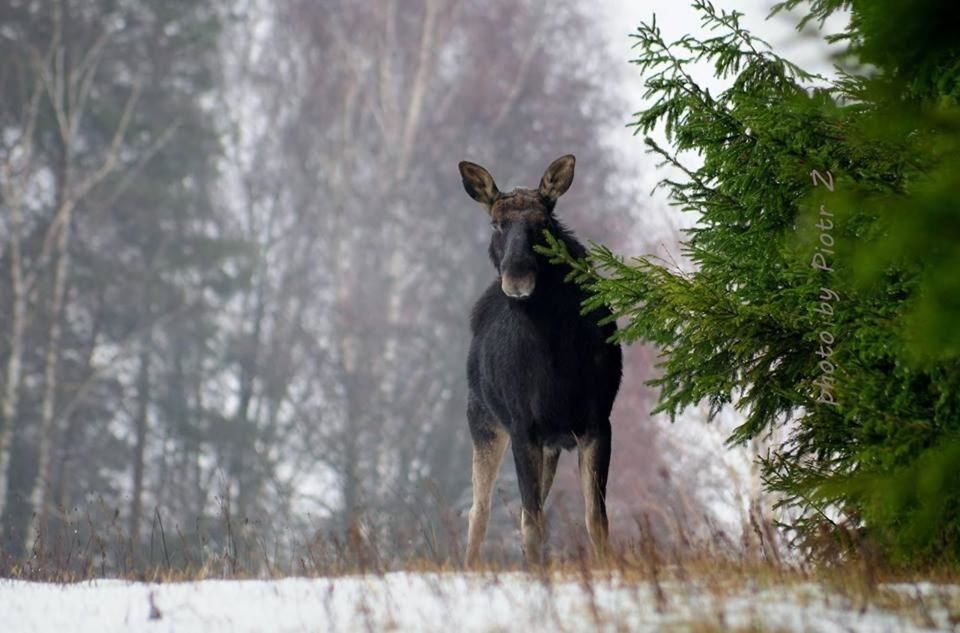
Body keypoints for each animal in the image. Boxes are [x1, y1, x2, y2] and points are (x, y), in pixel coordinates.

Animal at [460, 156, 624, 564]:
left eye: (544, 221)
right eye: (496, 223)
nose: (517, 278)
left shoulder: (598, 422)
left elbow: (596, 519)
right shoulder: (523, 426)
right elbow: (532, 521)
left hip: (549, 445)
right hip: (483, 419)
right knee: (479, 510)